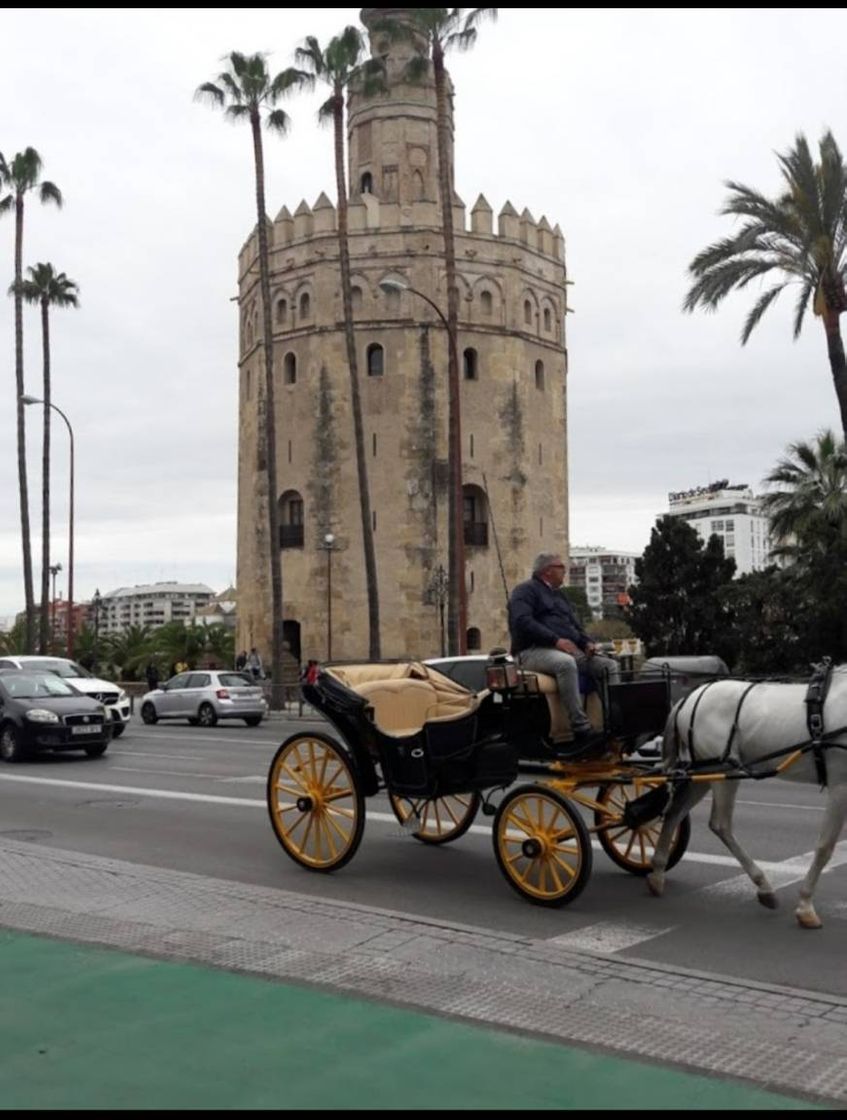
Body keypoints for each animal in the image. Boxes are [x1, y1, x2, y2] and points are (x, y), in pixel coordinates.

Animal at [649, 663, 847, 927]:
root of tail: (689, 697)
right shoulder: (840, 786)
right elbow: (825, 847)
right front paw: (805, 906)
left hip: (703, 773)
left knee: (674, 813)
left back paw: (657, 874)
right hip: (723, 771)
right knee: (720, 824)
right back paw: (764, 886)